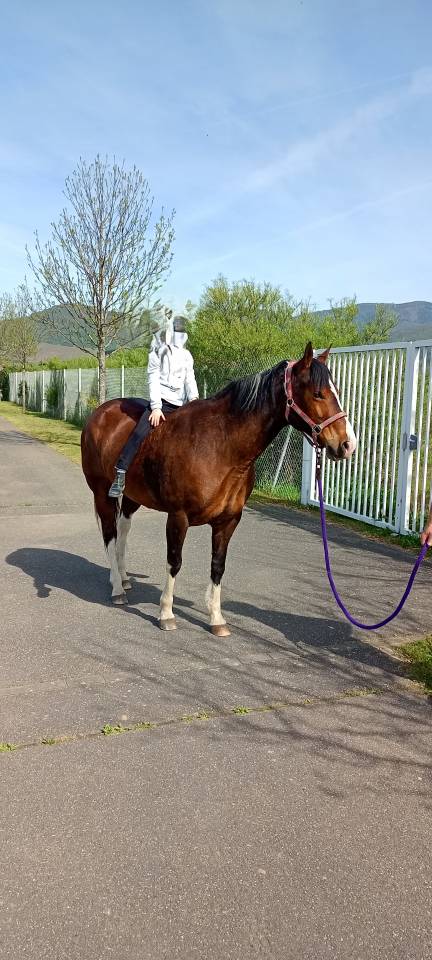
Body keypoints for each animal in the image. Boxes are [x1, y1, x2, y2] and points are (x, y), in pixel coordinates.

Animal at [81, 343, 356, 636]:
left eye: (337, 391)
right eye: (317, 393)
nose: (347, 444)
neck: (221, 446)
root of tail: (100, 413)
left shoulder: (228, 520)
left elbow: (218, 565)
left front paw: (216, 618)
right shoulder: (178, 517)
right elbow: (174, 562)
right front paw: (166, 613)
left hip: (134, 496)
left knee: (122, 531)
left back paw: (123, 578)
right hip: (102, 493)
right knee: (110, 535)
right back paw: (117, 589)